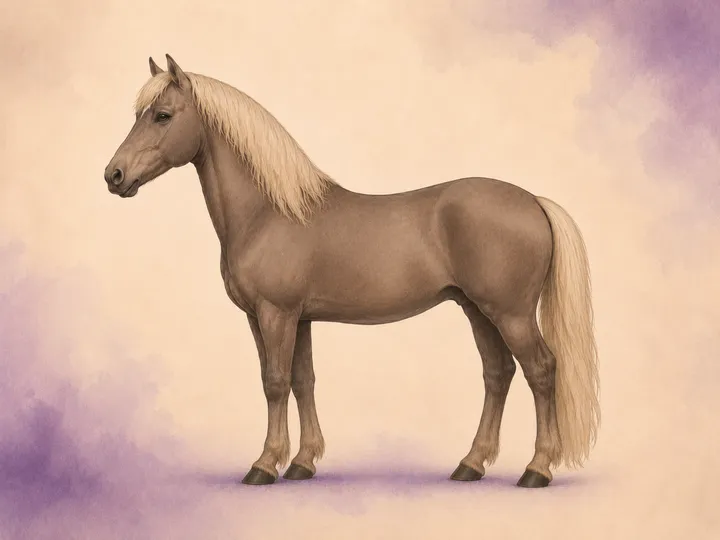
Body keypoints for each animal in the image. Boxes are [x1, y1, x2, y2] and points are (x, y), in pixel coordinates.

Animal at [104, 54, 600, 488]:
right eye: (139, 114)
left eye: (163, 115)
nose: (114, 175)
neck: (270, 212)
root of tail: (533, 201)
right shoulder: (293, 318)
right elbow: (302, 381)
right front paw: (302, 463)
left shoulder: (275, 314)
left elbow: (274, 383)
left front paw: (264, 465)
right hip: (477, 310)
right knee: (497, 375)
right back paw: (470, 465)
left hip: (510, 314)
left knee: (541, 371)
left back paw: (537, 470)